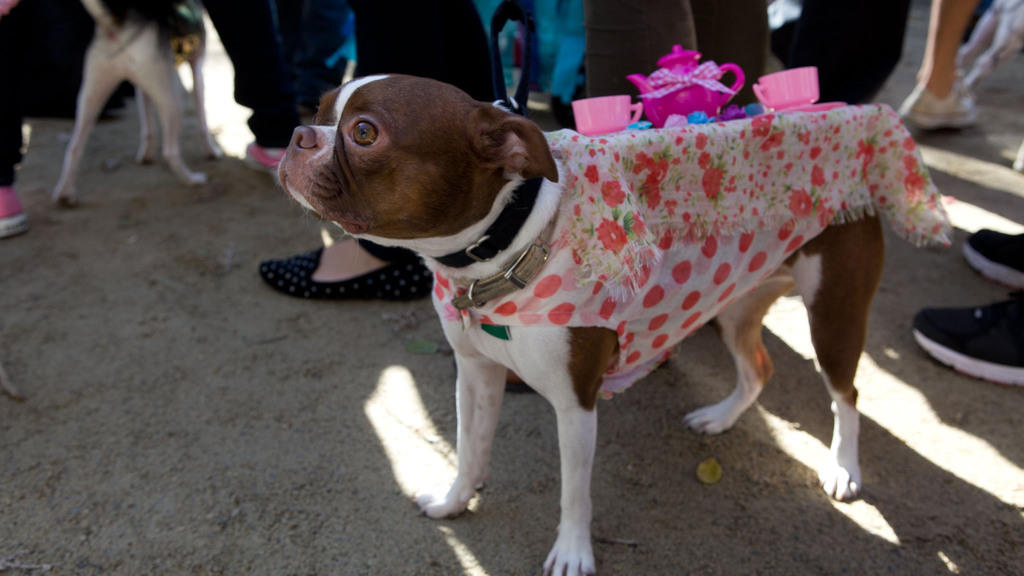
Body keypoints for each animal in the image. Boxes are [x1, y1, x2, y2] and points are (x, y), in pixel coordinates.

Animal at [54, 0, 218, 206]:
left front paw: (145, 155)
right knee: (170, 151)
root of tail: (116, 25)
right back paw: (192, 179)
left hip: (91, 95)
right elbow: (203, 121)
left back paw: (65, 193)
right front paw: (212, 151)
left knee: (74, 147)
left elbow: (147, 127)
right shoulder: (197, 70)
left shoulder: (141, 87)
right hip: (172, 100)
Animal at [280, 73, 888, 569]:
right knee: (758, 367)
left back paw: (844, 469)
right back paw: (720, 416)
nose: (298, 134)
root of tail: (851, 113)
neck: (501, 248)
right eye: (319, 109)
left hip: (833, 311)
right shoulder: (475, 374)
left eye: (364, 133)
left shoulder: (576, 404)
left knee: (847, 393)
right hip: (735, 304)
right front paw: (455, 502)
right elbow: (470, 449)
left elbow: (575, 491)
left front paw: (572, 553)